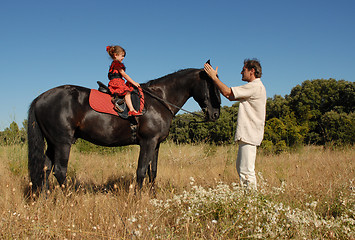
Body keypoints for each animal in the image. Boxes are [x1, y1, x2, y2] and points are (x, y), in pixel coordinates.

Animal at [27, 67, 221, 193]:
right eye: (211, 85)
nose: (216, 114)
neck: (159, 100)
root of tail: (40, 98)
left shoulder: (156, 145)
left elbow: (152, 172)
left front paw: (152, 197)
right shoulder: (147, 142)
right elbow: (141, 171)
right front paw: (138, 198)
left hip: (52, 143)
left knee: (45, 169)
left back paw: (45, 198)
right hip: (63, 143)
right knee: (59, 171)